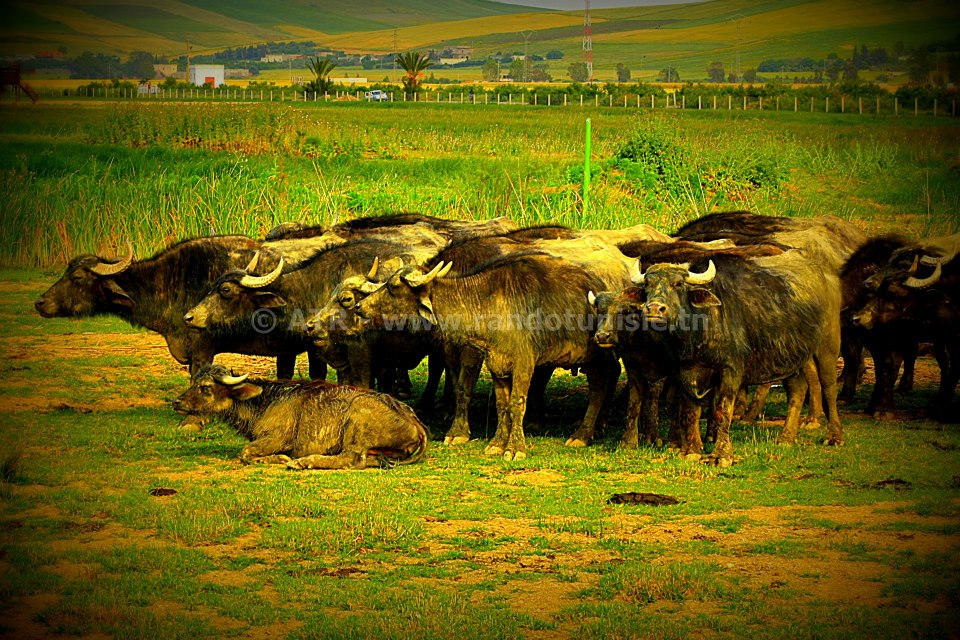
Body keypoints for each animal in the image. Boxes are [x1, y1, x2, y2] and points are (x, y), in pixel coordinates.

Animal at [173, 364, 428, 470]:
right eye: (195, 382)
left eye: (206, 387)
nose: (177, 402)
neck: (267, 401)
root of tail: (415, 421)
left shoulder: (277, 438)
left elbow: (245, 453)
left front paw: (282, 459)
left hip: (357, 424)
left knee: (353, 460)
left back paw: (303, 462)